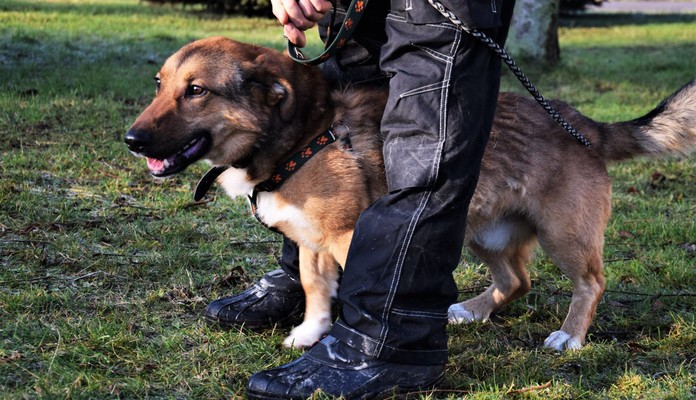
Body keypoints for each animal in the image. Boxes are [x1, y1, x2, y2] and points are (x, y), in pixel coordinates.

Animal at [125, 36, 696, 350]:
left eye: (197, 91)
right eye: (158, 84)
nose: (131, 140)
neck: (302, 137)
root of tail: (584, 125)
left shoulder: (351, 238)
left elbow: (362, 293)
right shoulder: (310, 243)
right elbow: (314, 291)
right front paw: (311, 334)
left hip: (564, 235)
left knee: (591, 282)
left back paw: (571, 337)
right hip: (481, 231)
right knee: (518, 280)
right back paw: (473, 310)